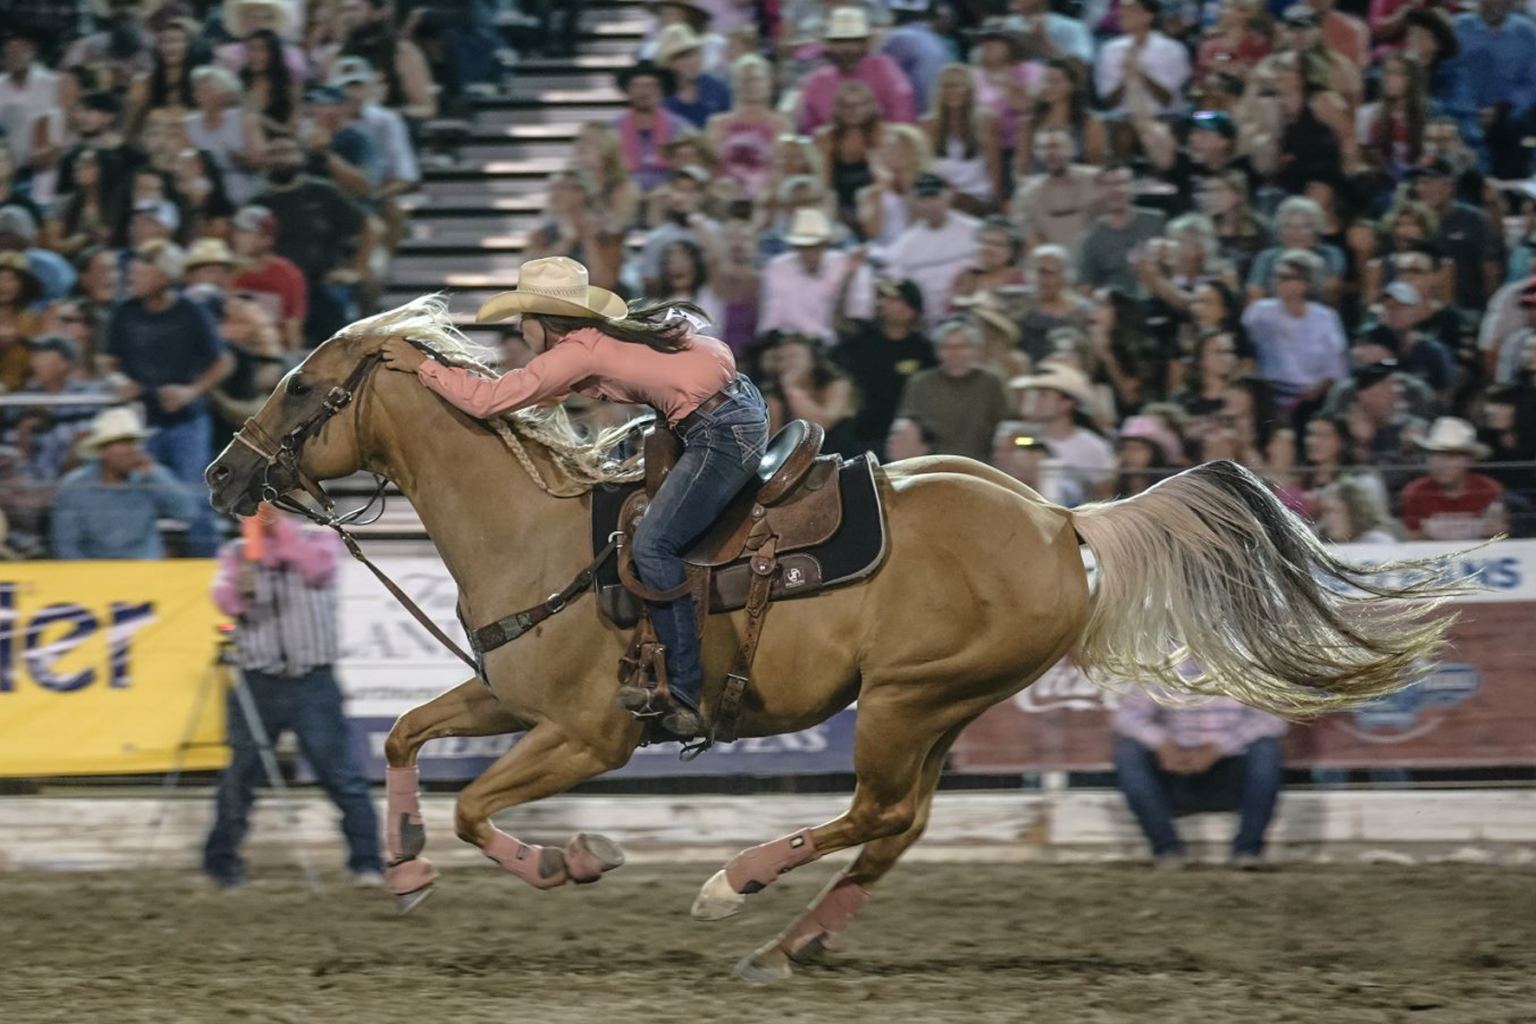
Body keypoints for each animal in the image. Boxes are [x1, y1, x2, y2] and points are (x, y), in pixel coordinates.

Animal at [204, 300, 1462, 982]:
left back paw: (732, 888)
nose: (220, 475)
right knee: (896, 828)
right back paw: (787, 942)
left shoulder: (588, 735)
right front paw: (408, 870)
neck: (537, 529)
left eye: (303, 386)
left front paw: (575, 860)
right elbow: (403, 740)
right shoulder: (509, 699)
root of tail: (1062, 518)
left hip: (906, 700)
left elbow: (475, 805)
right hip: (943, 705)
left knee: (871, 813)